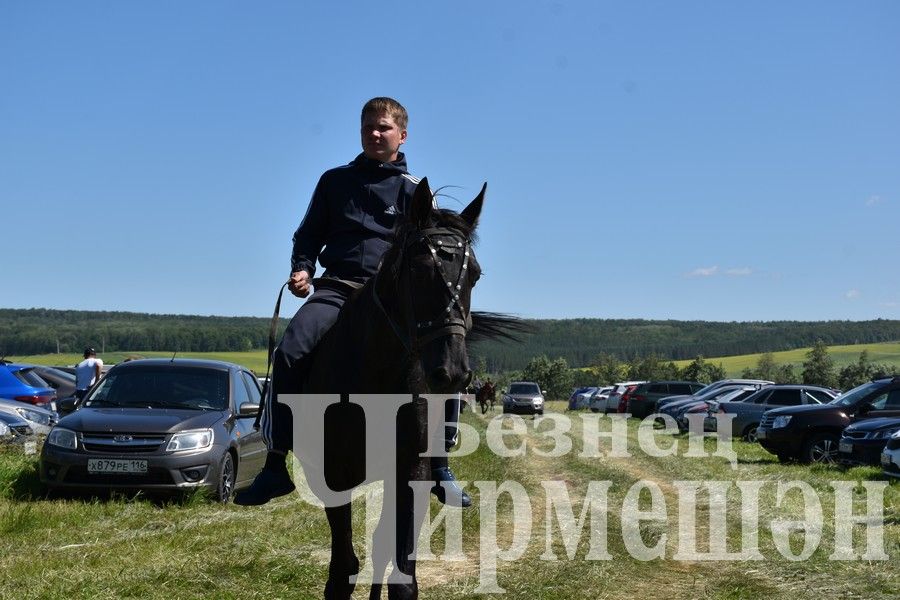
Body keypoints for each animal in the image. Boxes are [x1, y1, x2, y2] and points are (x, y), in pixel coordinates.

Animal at [292, 179, 520, 600]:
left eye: (476, 275)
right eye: (419, 268)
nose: (453, 372)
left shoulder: (410, 473)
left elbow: (401, 574)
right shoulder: (335, 476)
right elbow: (343, 570)